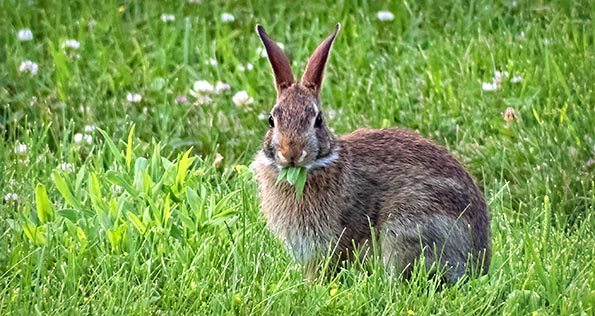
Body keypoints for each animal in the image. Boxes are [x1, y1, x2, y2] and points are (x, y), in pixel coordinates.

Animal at [254, 23, 492, 282]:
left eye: (318, 120)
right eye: (271, 120)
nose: (292, 153)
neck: (317, 165)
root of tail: (479, 262)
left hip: (408, 227)